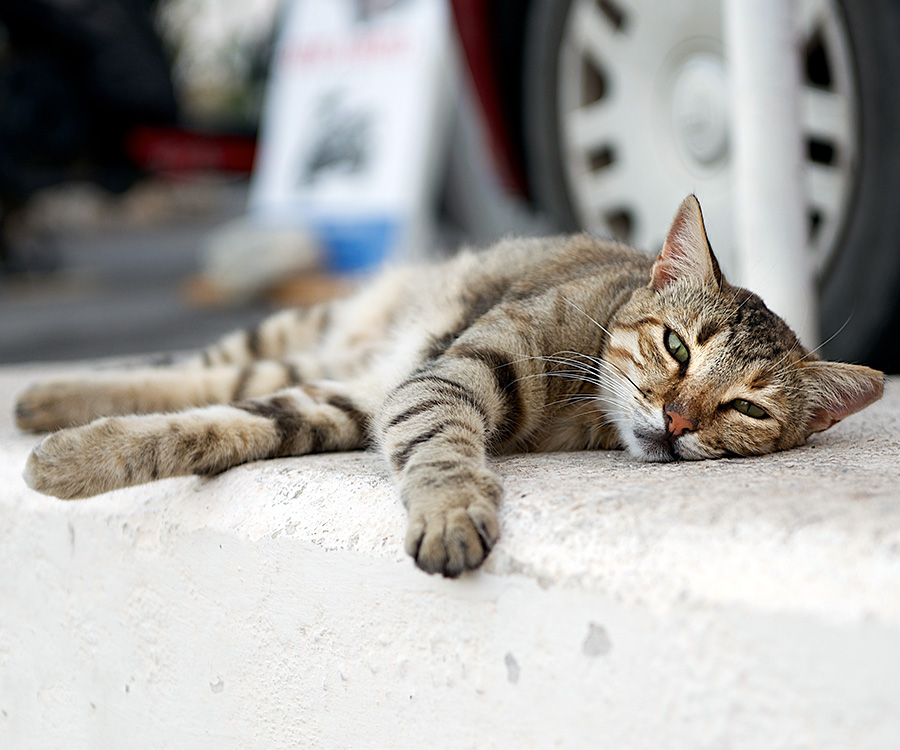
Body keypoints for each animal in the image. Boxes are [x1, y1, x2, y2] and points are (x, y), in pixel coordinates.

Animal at [15, 197, 884, 580]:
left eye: (746, 408)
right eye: (676, 346)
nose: (676, 419)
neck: (584, 407)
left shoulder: (367, 400)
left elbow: (223, 425)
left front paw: (70, 462)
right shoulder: (449, 373)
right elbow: (440, 446)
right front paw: (452, 511)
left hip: (327, 365)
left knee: (224, 379)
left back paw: (45, 406)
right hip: (305, 328)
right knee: (194, 363)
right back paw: (42, 395)